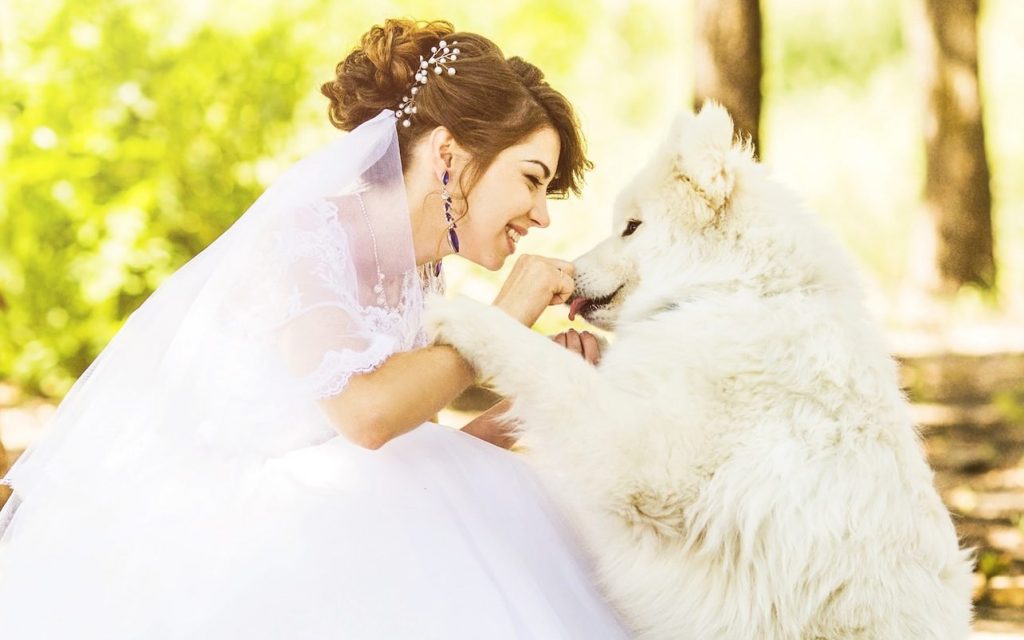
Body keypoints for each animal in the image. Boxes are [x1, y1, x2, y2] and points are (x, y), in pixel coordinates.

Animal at [428, 102, 970, 634]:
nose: (570, 269)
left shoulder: (644, 459)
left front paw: (462, 314)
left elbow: (543, 366)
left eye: (631, 227)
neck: (732, 288)